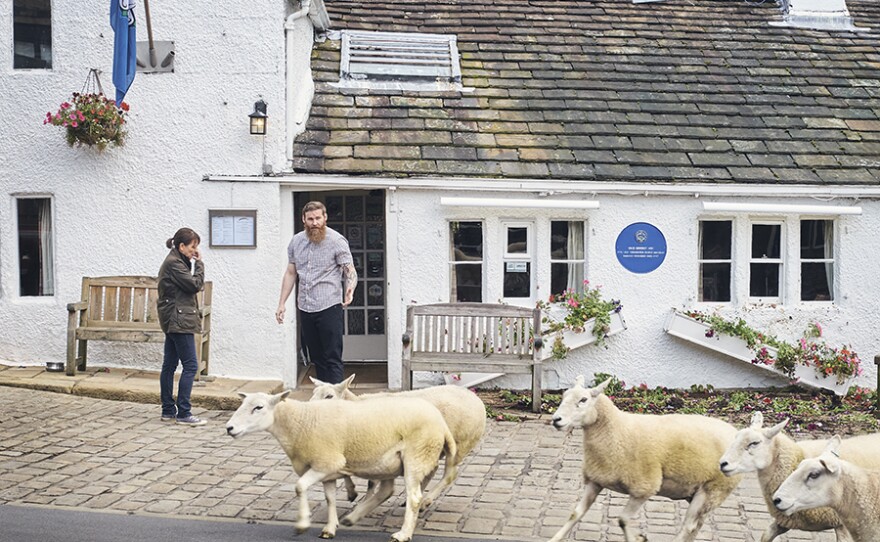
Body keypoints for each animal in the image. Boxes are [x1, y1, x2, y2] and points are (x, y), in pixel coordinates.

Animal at [223, 394, 458, 540]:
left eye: (258, 407)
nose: (229, 428)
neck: (300, 422)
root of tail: (441, 422)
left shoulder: (327, 463)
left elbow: (299, 487)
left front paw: (302, 524)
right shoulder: (326, 471)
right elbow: (330, 499)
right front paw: (329, 528)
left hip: (416, 456)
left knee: (414, 497)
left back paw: (403, 534)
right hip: (388, 462)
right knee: (386, 490)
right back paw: (352, 518)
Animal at [310, 376, 488, 512]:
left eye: (329, 396)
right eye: (313, 393)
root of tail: (477, 400)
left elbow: (370, 482)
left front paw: (363, 502)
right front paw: (354, 495)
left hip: (460, 444)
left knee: (449, 475)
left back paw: (426, 501)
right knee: (431, 470)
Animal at [552, 378, 744, 542]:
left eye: (583, 400)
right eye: (564, 396)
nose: (556, 420)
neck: (617, 430)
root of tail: (735, 432)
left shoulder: (644, 488)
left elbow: (622, 520)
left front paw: (637, 538)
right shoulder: (596, 480)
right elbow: (575, 514)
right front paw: (555, 538)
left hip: (714, 489)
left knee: (689, 526)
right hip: (698, 491)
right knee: (697, 525)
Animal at [720, 414, 880, 540]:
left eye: (754, 443)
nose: (722, 463)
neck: (797, 456)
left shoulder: (843, 526)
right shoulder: (785, 519)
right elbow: (766, 535)